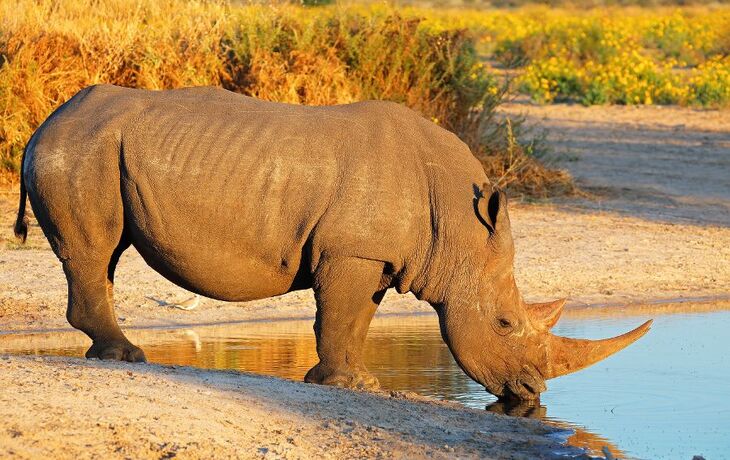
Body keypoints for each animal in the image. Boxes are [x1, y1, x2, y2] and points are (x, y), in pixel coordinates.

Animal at [14, 85, 651, 401]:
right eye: (503, 324)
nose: (530, 392)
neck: (456, 223)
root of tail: (49, 118)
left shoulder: (376, 256)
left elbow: (354, 319)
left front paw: (355, 382)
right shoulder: (351, 251)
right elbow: (339, 315)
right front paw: (349, 385)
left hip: (94, 147)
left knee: (106, 255)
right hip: (81, 148)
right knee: (96, 249)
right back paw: (125, 357)